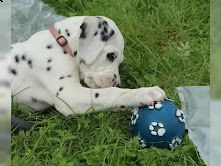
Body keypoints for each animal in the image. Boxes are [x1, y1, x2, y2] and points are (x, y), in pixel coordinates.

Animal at [10, 16, 166, 116]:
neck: (60, 43)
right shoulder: (69, 95)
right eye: (111, 55)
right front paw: (144, 93)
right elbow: (109, 94)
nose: (115, 82)